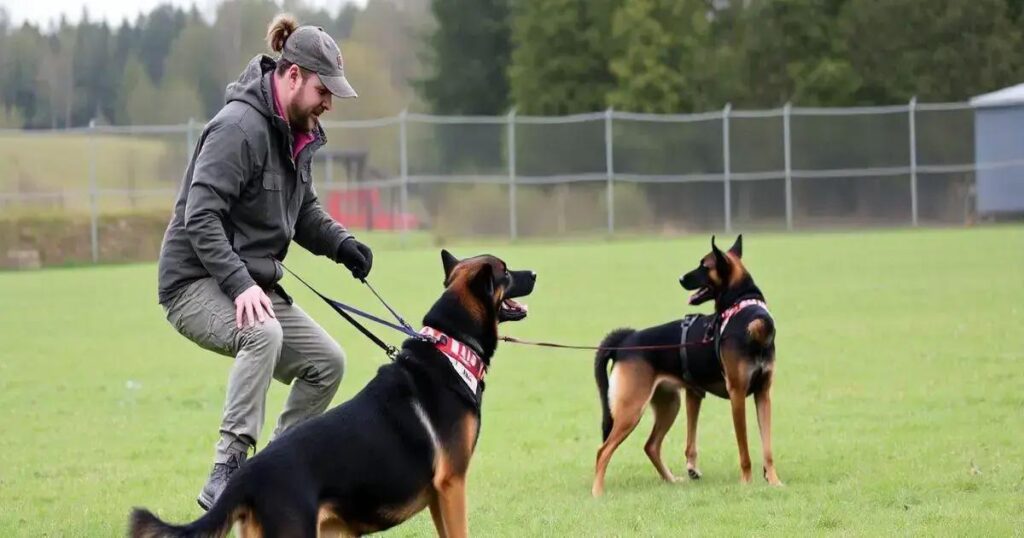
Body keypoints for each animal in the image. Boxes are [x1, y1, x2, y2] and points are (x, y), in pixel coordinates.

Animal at [130, 252, 536, 536]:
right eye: (505, 272)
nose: (534, 273)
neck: (452, 348)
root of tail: (245, 478)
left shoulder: (440, 494)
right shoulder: (452, 485)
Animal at [589, 234, 778, 495]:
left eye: (704, 266)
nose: (680, 278)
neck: (743, 309)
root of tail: (626, 341)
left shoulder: (763, 394)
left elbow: (767, 448)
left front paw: (774, 481)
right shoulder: (738, 395)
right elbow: (744, 450)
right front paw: (747, 483)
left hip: (669, 405)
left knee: (650, 446)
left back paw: (670, 479)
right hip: (631, 409)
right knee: (603, 451)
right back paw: (597, 492)